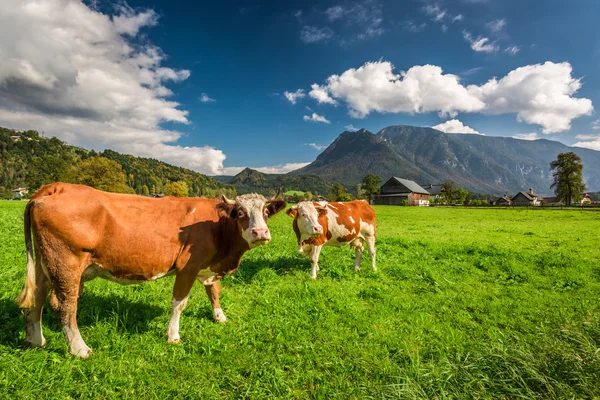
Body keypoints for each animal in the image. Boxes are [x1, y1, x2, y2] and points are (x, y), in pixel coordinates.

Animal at [15, 183, 284, 358]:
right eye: (240, 212)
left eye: (266, 212)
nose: (260, 233)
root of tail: (56, 187)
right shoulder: (188, 266)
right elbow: (179, 303)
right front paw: (173, 336)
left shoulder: (208, 266)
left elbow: (213, 291)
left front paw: (220, 317)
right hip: (66, 264)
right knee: (65, 306)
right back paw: (79, 349)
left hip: (45, 262)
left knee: (36, 297)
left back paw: (35, 340)